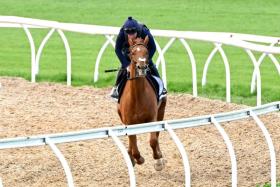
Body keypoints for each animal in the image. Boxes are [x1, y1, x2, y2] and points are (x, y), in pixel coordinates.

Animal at [116, 35, 166, 170]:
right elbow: (134, 145)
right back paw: (130, 157)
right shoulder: (129, 122)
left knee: (157, 135)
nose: (142, 67)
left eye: (146, 52)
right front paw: (137, 158)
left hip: (161, 111)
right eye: (132, 52)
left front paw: (158, 159)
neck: (137, 97)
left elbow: (153, 140)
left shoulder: (152, 118)